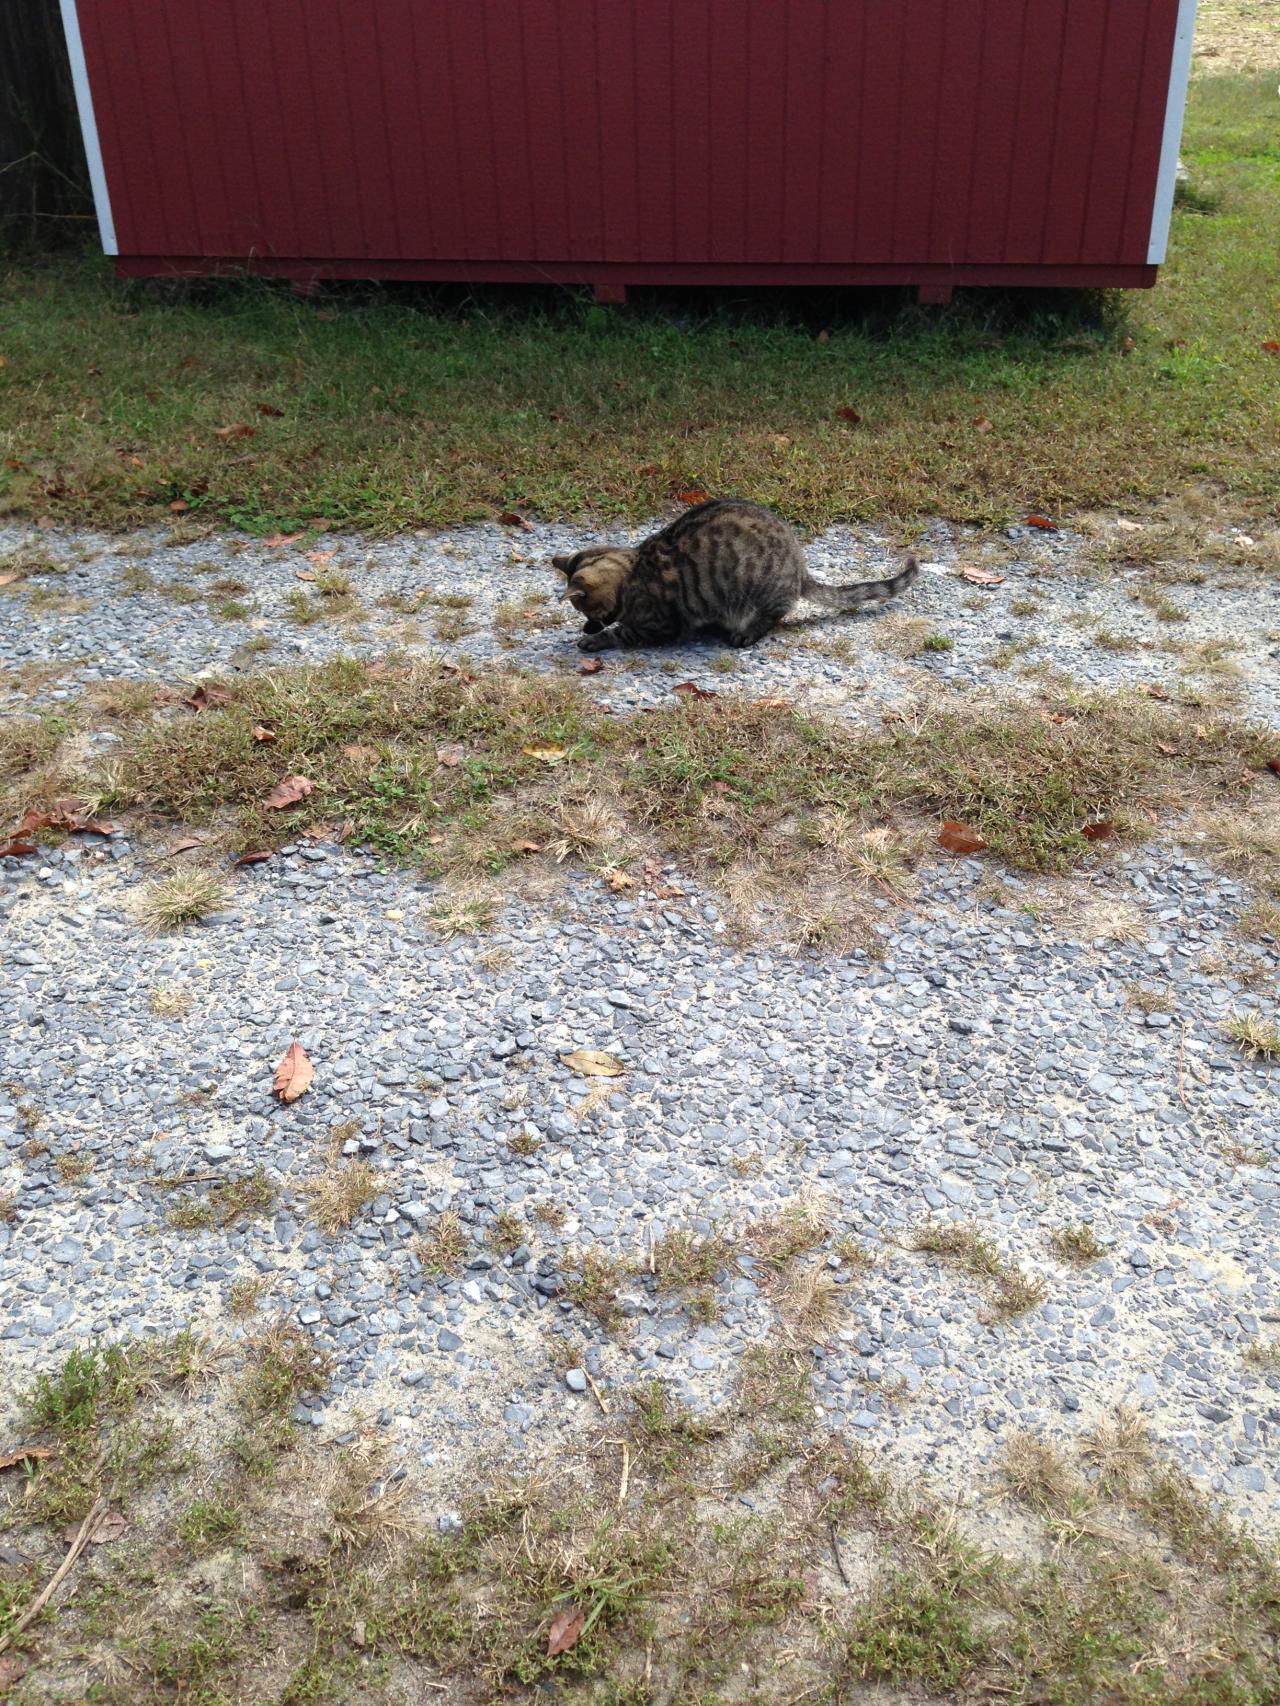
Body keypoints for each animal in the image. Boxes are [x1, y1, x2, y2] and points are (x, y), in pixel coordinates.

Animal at [553, 498, 917, 651]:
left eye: (587, 612)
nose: (586, 626)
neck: (633, 572)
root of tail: (799, 569)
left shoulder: (660, 626)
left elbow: (621, 632)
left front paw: (596, 638)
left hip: (760, 591)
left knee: (774, 615)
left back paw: (747, 632)